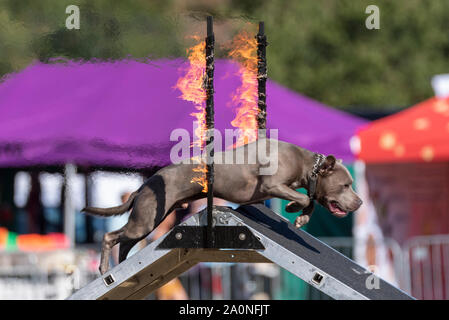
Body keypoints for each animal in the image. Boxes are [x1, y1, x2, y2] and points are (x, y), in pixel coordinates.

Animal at [83, 139, 360, 274]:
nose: (360, 202)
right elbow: (305, 198)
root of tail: (146, 183)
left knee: (124, 243)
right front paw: (294, 208)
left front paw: (302, 217)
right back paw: (104, 269)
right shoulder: (272, 185)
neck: (304, 163)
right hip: (146, 220)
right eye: (346, 185)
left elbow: (311, 199)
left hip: (150, 220)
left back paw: (118, 268)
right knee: (110, 237)